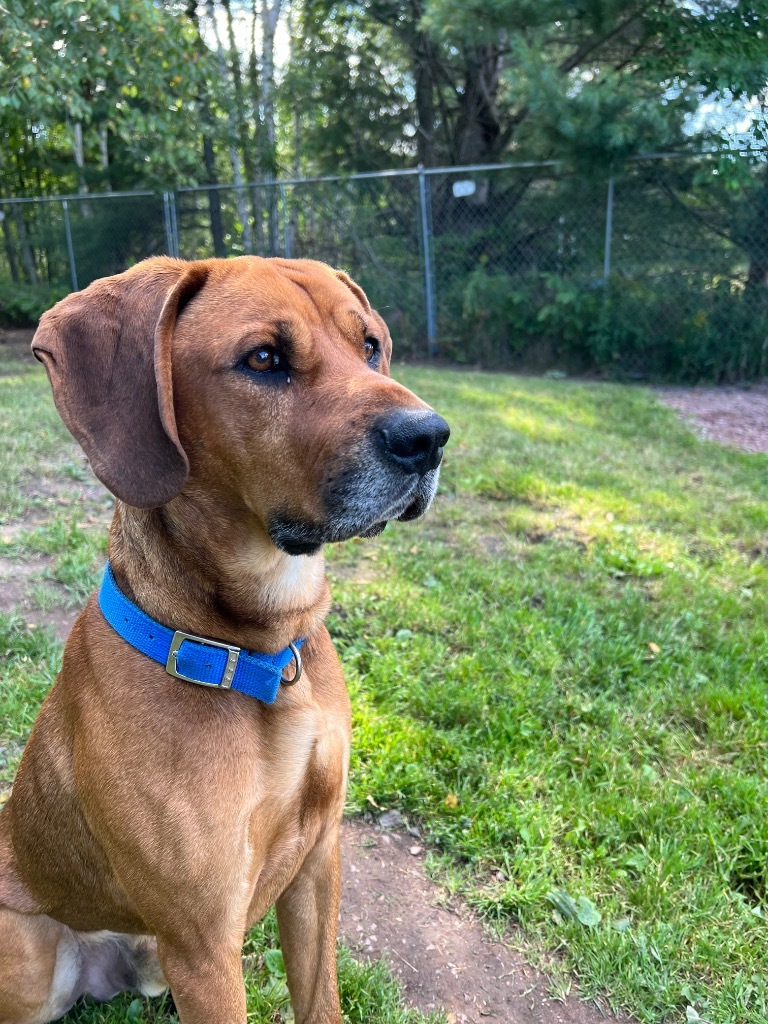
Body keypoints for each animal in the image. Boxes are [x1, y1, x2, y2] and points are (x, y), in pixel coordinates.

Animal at [0, 258, 450, 1024]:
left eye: (368, 346)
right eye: (263, 359)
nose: (429, 438)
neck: (259, 654)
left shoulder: (318, 862)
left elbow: (320, 1000)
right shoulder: (205, 943)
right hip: (32, 957)